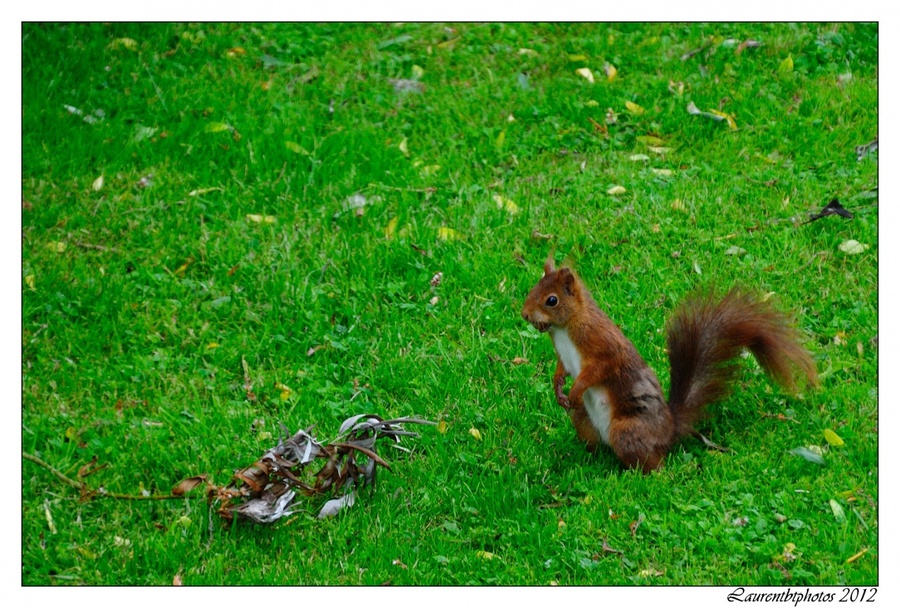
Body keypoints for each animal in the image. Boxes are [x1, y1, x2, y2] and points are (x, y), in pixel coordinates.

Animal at [520, 258, 816, 472]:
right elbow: (562, 368)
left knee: (654, 462)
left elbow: (597, 370)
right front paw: (558, 387)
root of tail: (669, 429)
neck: (565, 327)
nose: (524, 314)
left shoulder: (602, 345)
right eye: (533, 289)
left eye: (552, 300)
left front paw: (575, 390)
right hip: (583, 419)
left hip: (627, 430)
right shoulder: (564, 354)